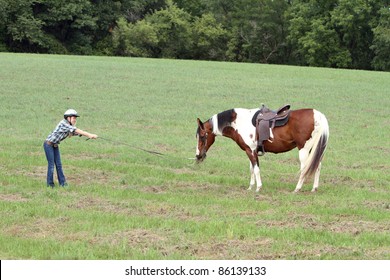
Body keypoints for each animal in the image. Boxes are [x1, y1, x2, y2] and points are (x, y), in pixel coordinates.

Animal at [195, 106, 330, 192]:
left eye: (202, 136)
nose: (198, 155)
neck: (239, 122)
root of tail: (318, 115)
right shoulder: (251, 151)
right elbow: (252, 169)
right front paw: (250, 187)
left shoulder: (250, 151)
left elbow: (256, 169)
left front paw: (258, 188)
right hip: (314, 149)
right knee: (317, 166)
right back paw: (314, 188)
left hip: (304, 149)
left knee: (304, 168)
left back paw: (297, 188)